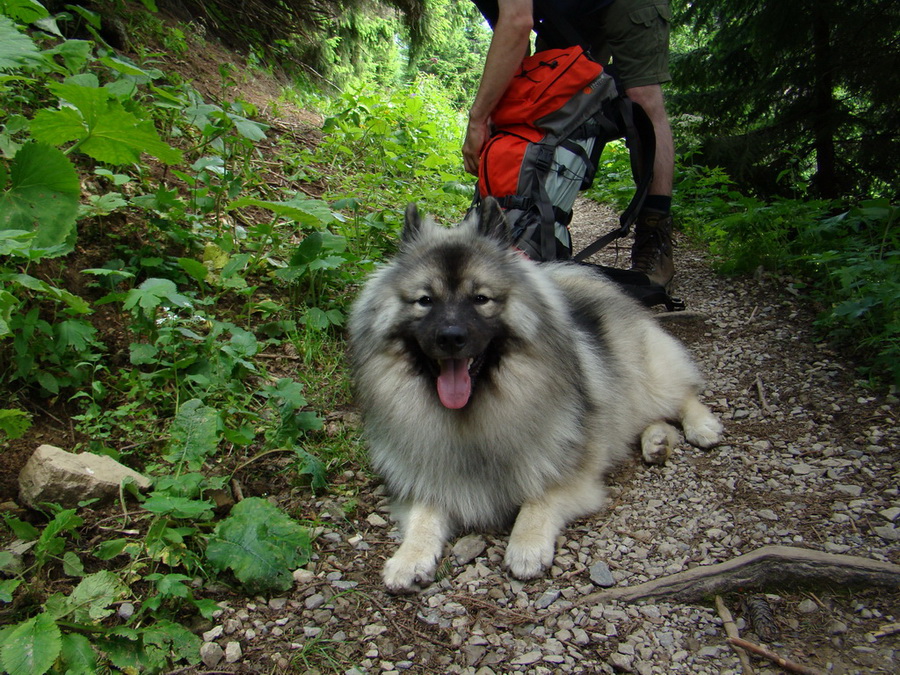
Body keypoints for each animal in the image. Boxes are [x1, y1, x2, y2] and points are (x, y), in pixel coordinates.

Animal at [348, 199, 720, 592]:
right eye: (425, 301)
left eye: (480, 299)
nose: (450, 337)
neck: (474, 412)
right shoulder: (428, 472)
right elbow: (425, 512)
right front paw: (410, 556)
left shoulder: (571, 469)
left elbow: (540, 497)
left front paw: (526, 543)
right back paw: (657, 442)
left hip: (646, 376)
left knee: (680, 396)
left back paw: (701, 426)